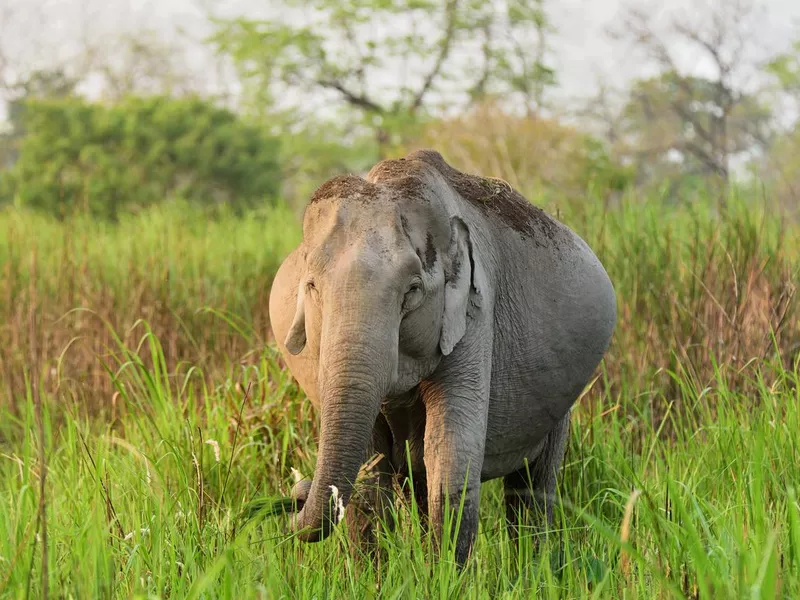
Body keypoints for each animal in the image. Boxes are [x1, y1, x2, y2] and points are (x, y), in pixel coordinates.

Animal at [268, 148, 620, 564]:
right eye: (311, 286)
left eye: (413, 289)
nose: (296, 491)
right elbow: (370, 473)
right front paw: (373, 576)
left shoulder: (473, 315)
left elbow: (451, 454)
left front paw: (443, 575)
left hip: (560, 401)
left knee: (532, 489)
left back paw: (534, 569)